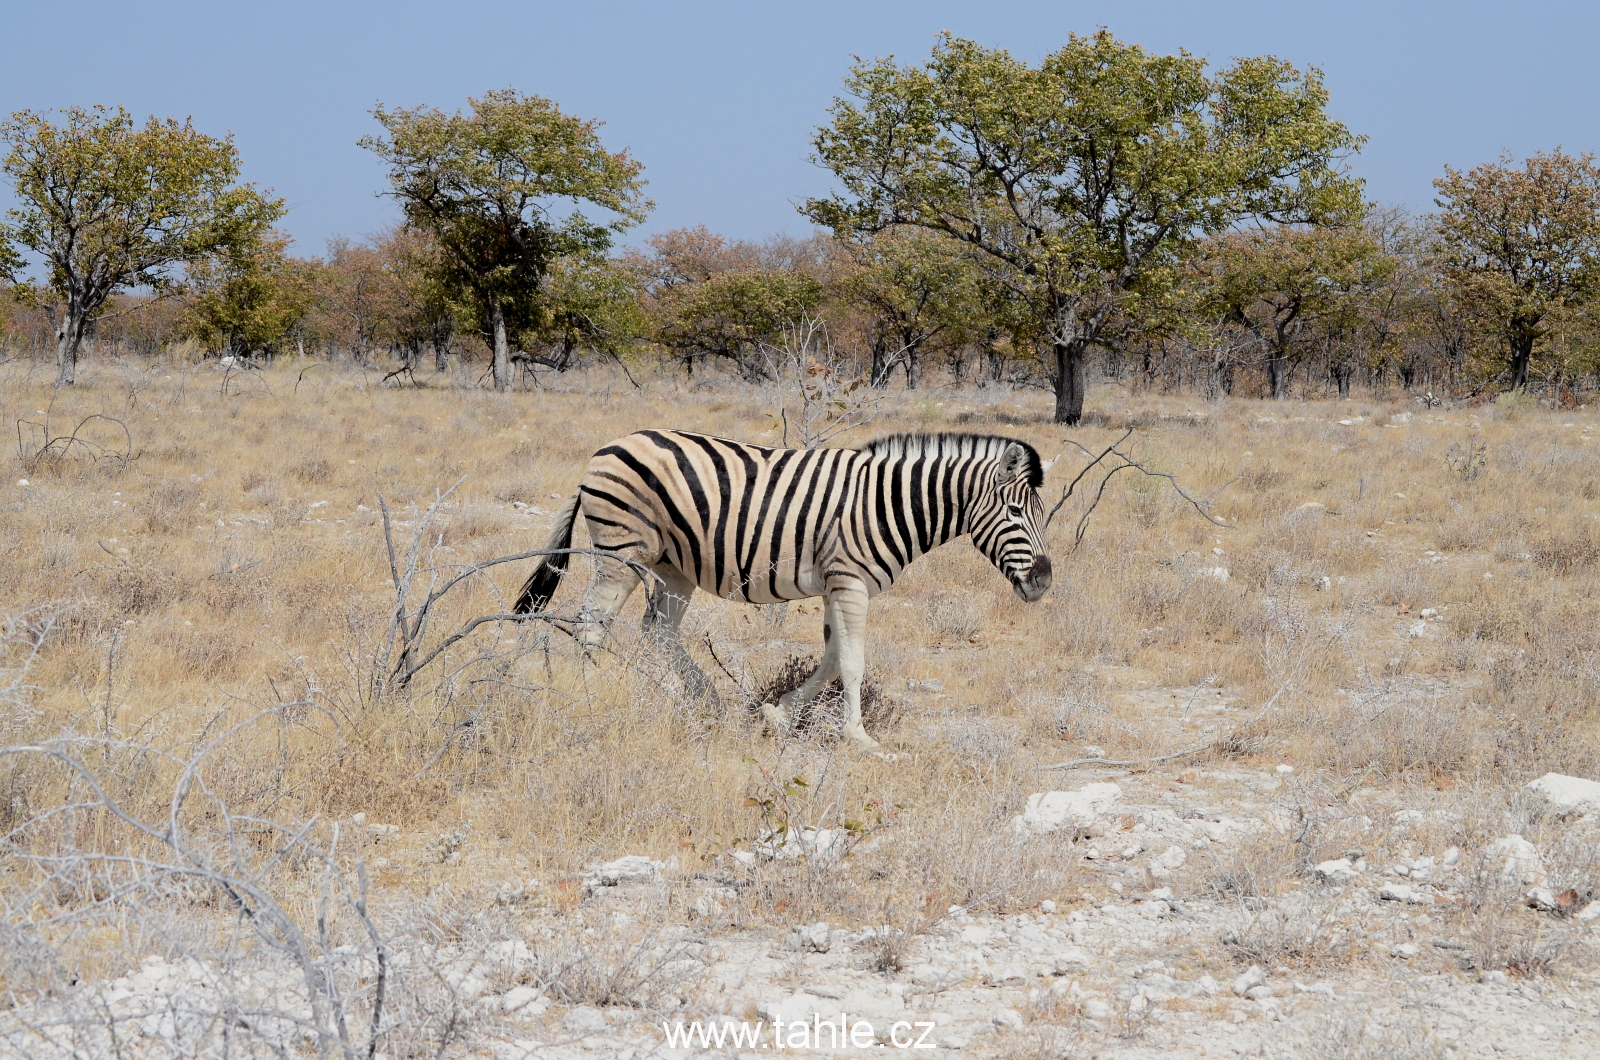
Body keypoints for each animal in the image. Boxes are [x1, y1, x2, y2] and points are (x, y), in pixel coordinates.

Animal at [512, 429, 1056, 746]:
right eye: (1014, 512)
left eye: (1042, 513)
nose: (1044, 582)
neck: (886, 503)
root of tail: (610, 444)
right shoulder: (850, 581)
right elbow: (852, 661)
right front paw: (858, 737)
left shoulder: (836, 584)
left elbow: (832, 658)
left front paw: (778, 714)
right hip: (622, 552)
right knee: (592, 624)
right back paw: (595, 701)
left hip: (674, 565)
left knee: (657, 630)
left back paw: (702, 703)